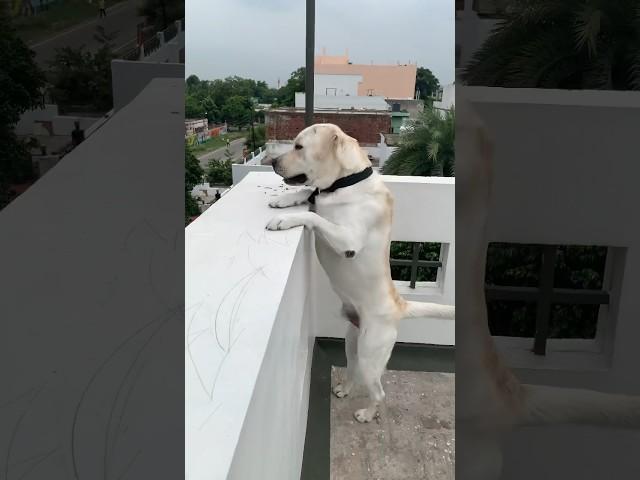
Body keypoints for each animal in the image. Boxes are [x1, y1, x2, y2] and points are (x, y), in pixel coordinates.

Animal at [264, 124, 456, 424]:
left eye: (298, 147)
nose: (272, 162)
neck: (345, 182)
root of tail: (399, 306)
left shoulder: (348, 240)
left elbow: (315, 216)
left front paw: (286, 219)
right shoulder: (319, 195)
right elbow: (308, 192)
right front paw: (284, 199)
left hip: (370, 353)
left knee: (378, 391)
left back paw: (367, 413)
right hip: (351, 342)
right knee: (352, 370)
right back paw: (344, 389)